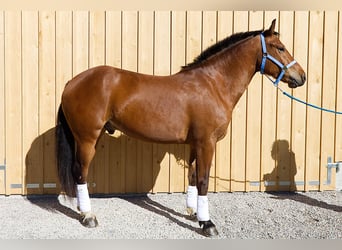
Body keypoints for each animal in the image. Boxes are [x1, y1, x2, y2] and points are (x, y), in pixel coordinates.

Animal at [56, 19, 304, 236]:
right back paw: (88, 216)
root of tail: (71, 82)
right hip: (87, 139)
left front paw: (194, 213)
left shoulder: (196, 144)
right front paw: (208, 224)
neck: (213, 84)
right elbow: (204, 180)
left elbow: (193, 177)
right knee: (80, 172)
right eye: (280, 47)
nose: (301, 76)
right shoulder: (207, 143)